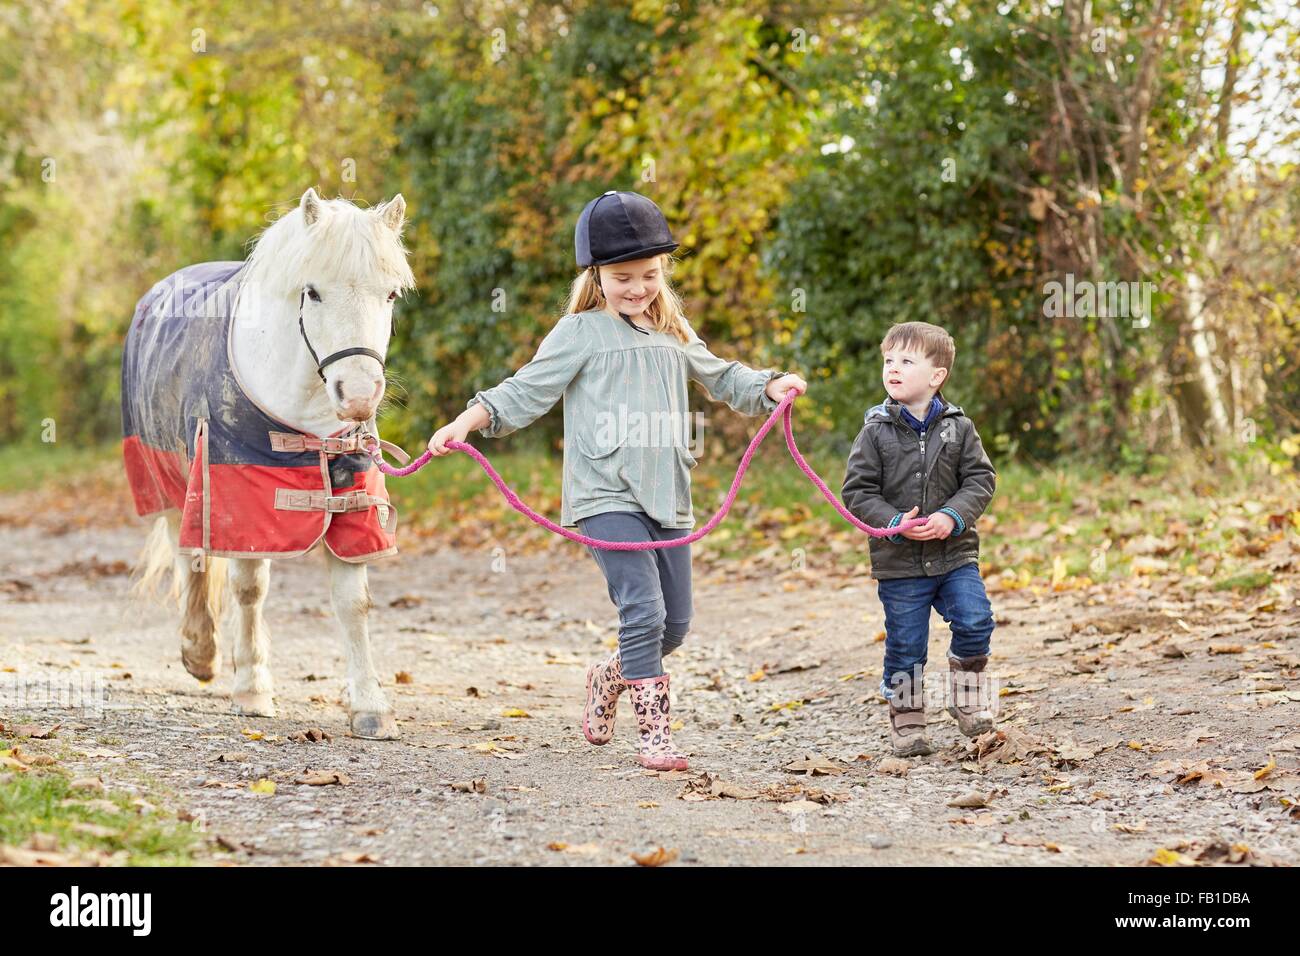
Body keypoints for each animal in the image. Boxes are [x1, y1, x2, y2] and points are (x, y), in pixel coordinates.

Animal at [124, 188, 413, 738]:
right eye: (312, 292)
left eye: (390, 295)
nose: (358, 395)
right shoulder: (238, 490)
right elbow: (249, 589)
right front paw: (253, 689)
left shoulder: (351, 498)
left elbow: (353, 602)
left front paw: (370, 706)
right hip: (169, 479)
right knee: (189, 555)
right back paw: (201, 652)